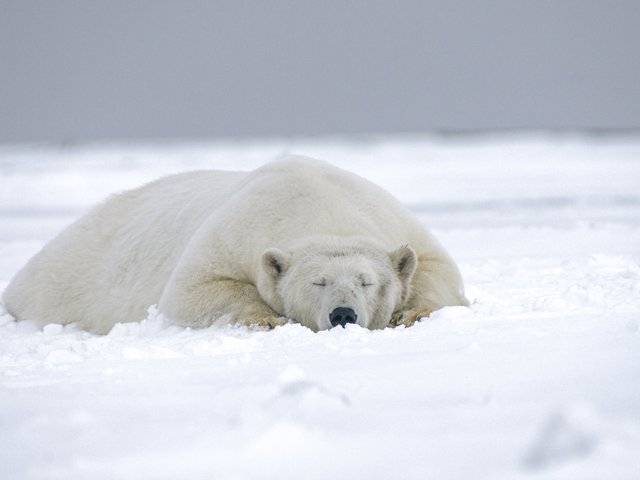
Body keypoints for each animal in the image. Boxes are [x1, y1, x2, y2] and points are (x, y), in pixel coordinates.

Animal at [2, 158, 468, 334]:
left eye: (366, 281)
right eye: (317, 283)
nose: (343, 314)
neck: (320, 205)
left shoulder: (391, 219)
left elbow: (437, 268)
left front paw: (412, 312)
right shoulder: (236, 230)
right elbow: (192, 291)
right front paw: (267, 319)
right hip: (64, 279)